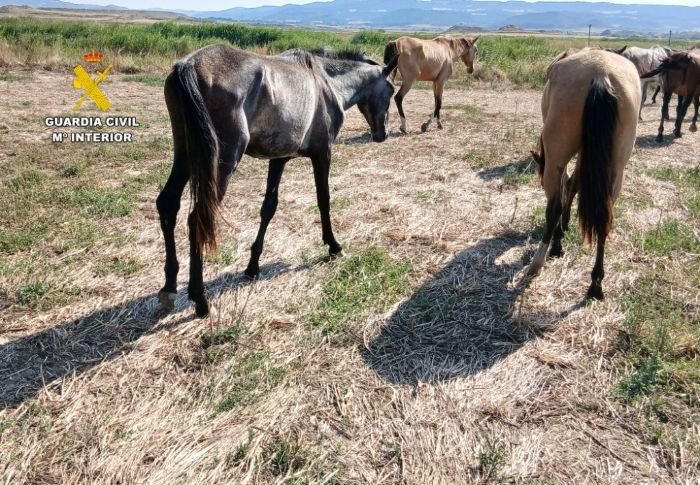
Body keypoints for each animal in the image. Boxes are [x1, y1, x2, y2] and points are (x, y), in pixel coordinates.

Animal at [156, 44, 398, 317]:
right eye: (391, 89)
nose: (383, 133)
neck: (326, 82)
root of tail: (188, 65)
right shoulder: (323, 153)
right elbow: (323, 199)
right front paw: (333, 245)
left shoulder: (279, 159)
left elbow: (268, 208)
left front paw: (253, 265)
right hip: (222, 160)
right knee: (198, 218)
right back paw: (200, 299)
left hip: (186, 154)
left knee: (167, 205)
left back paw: (169, 288)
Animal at [523, 49, 641, 300]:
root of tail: (601, 74)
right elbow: (574, 186)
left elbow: (566, 189)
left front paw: (559, 237)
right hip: (616, 167)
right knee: (605, 216)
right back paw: (596, 284)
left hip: (556, 157)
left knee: (554, 207)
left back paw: (539, 261)